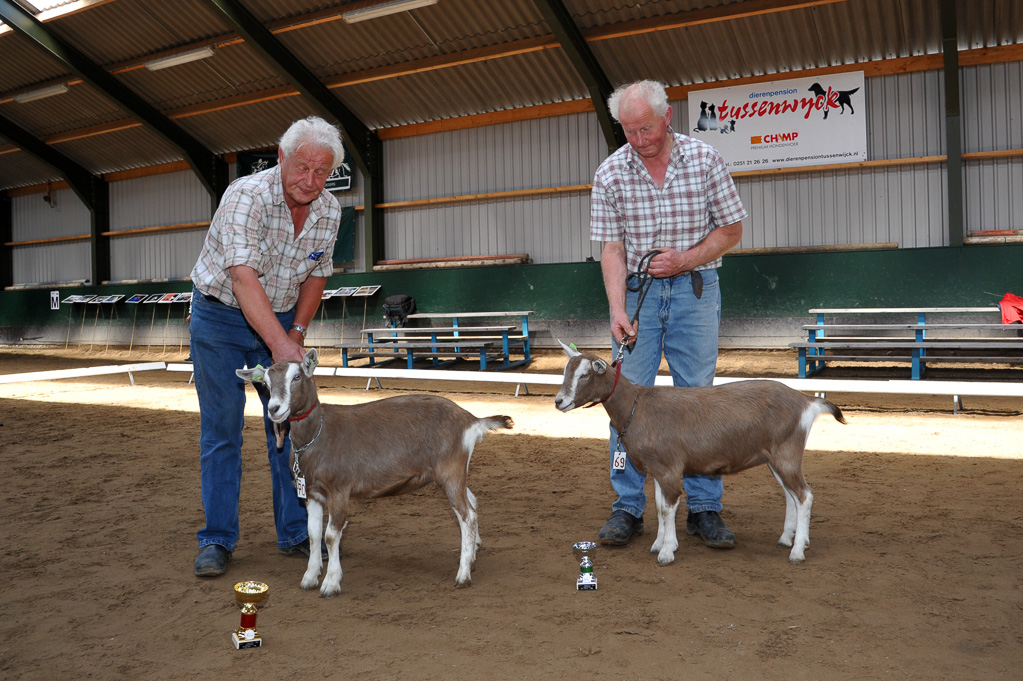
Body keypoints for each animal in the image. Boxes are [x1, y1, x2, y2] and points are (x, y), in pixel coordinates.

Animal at [237, 347, 511, 593]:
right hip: (455, 471)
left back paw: (463, 574)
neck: (318, 435)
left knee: (467, 515)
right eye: (265, 383)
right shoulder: (312, 493)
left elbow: (331, 535)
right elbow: (314, 534)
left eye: (297, 377)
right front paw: (310, 577)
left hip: (449, 469)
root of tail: (471, 420)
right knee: (472, 502)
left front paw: (331, 583)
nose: (274, 409)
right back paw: (473, 555)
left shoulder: (339, 489)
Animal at [556, 341, 842, 564]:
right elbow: (659, 506)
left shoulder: (669, 468)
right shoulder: (657, 468)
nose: (559, 401)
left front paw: (667, 552)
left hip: (787, 455)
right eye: (566, 372)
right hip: (776, 458)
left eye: (584, 375)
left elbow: (667, 508)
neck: (636, 407)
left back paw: (797, 551)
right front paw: (659, 544)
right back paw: (787, 539)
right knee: (790, 495)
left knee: (804, 496)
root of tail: (805, 401)